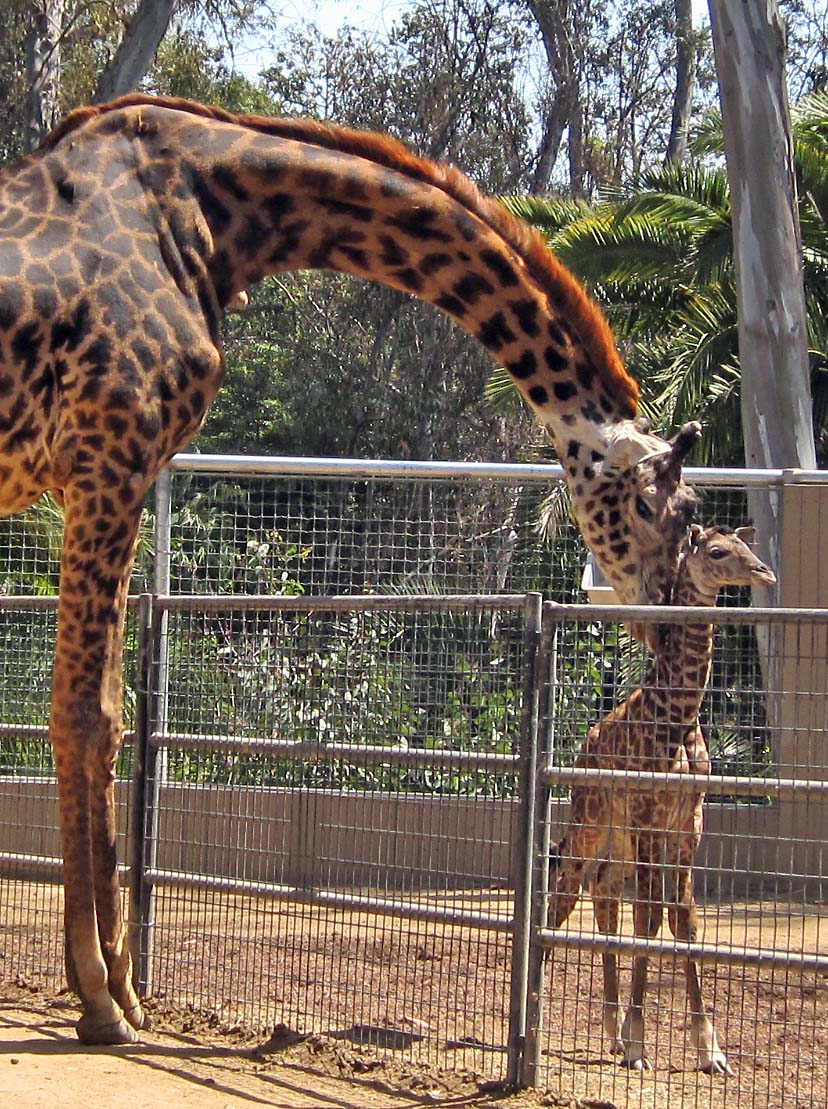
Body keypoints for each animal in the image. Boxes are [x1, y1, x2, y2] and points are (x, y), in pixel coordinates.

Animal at [0, 95, 700, 1044]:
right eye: (681, 511)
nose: (669, 634)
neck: (219, 214)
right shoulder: (114, 450)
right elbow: (88, 716)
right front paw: (102, 996)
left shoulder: (115, 470)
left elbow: (100, 712)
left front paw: (119, 987)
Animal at [547, 525, 776, 1074]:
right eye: (717, 552)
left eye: (747, 547)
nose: (765, 573)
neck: (680, 715)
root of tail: (584, 747)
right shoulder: (651, 817)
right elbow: (649, 919)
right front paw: (637, 1043)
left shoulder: (688, 822)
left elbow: (683, 921)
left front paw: (710, 1050)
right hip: (591, 824)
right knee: (566, 891)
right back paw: (539, 1016)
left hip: (620, 839)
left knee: (604, 893)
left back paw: (607, 1030)